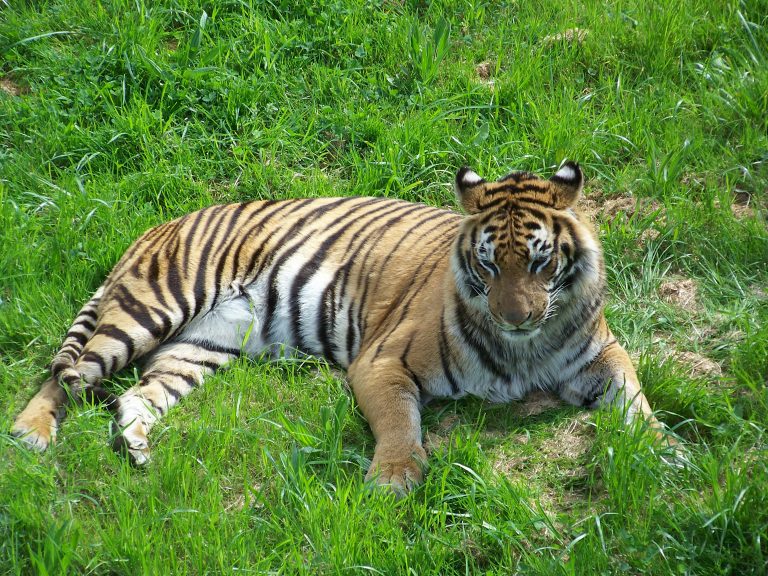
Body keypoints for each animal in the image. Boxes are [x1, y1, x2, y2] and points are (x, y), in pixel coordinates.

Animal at [10, 163, 672, 496]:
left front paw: (667, 450)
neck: (525, 348)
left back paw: (138, 450)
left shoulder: (603, 354)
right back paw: (31, 433)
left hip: (198, 350)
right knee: (67, 376)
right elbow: (401, 425)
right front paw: (393, 480)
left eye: (539, 261)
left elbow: (635, 396)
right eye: (488, 264)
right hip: (152, 309)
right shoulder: (382, 363)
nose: (517, 317)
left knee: (132, 397)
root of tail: (156, 227)